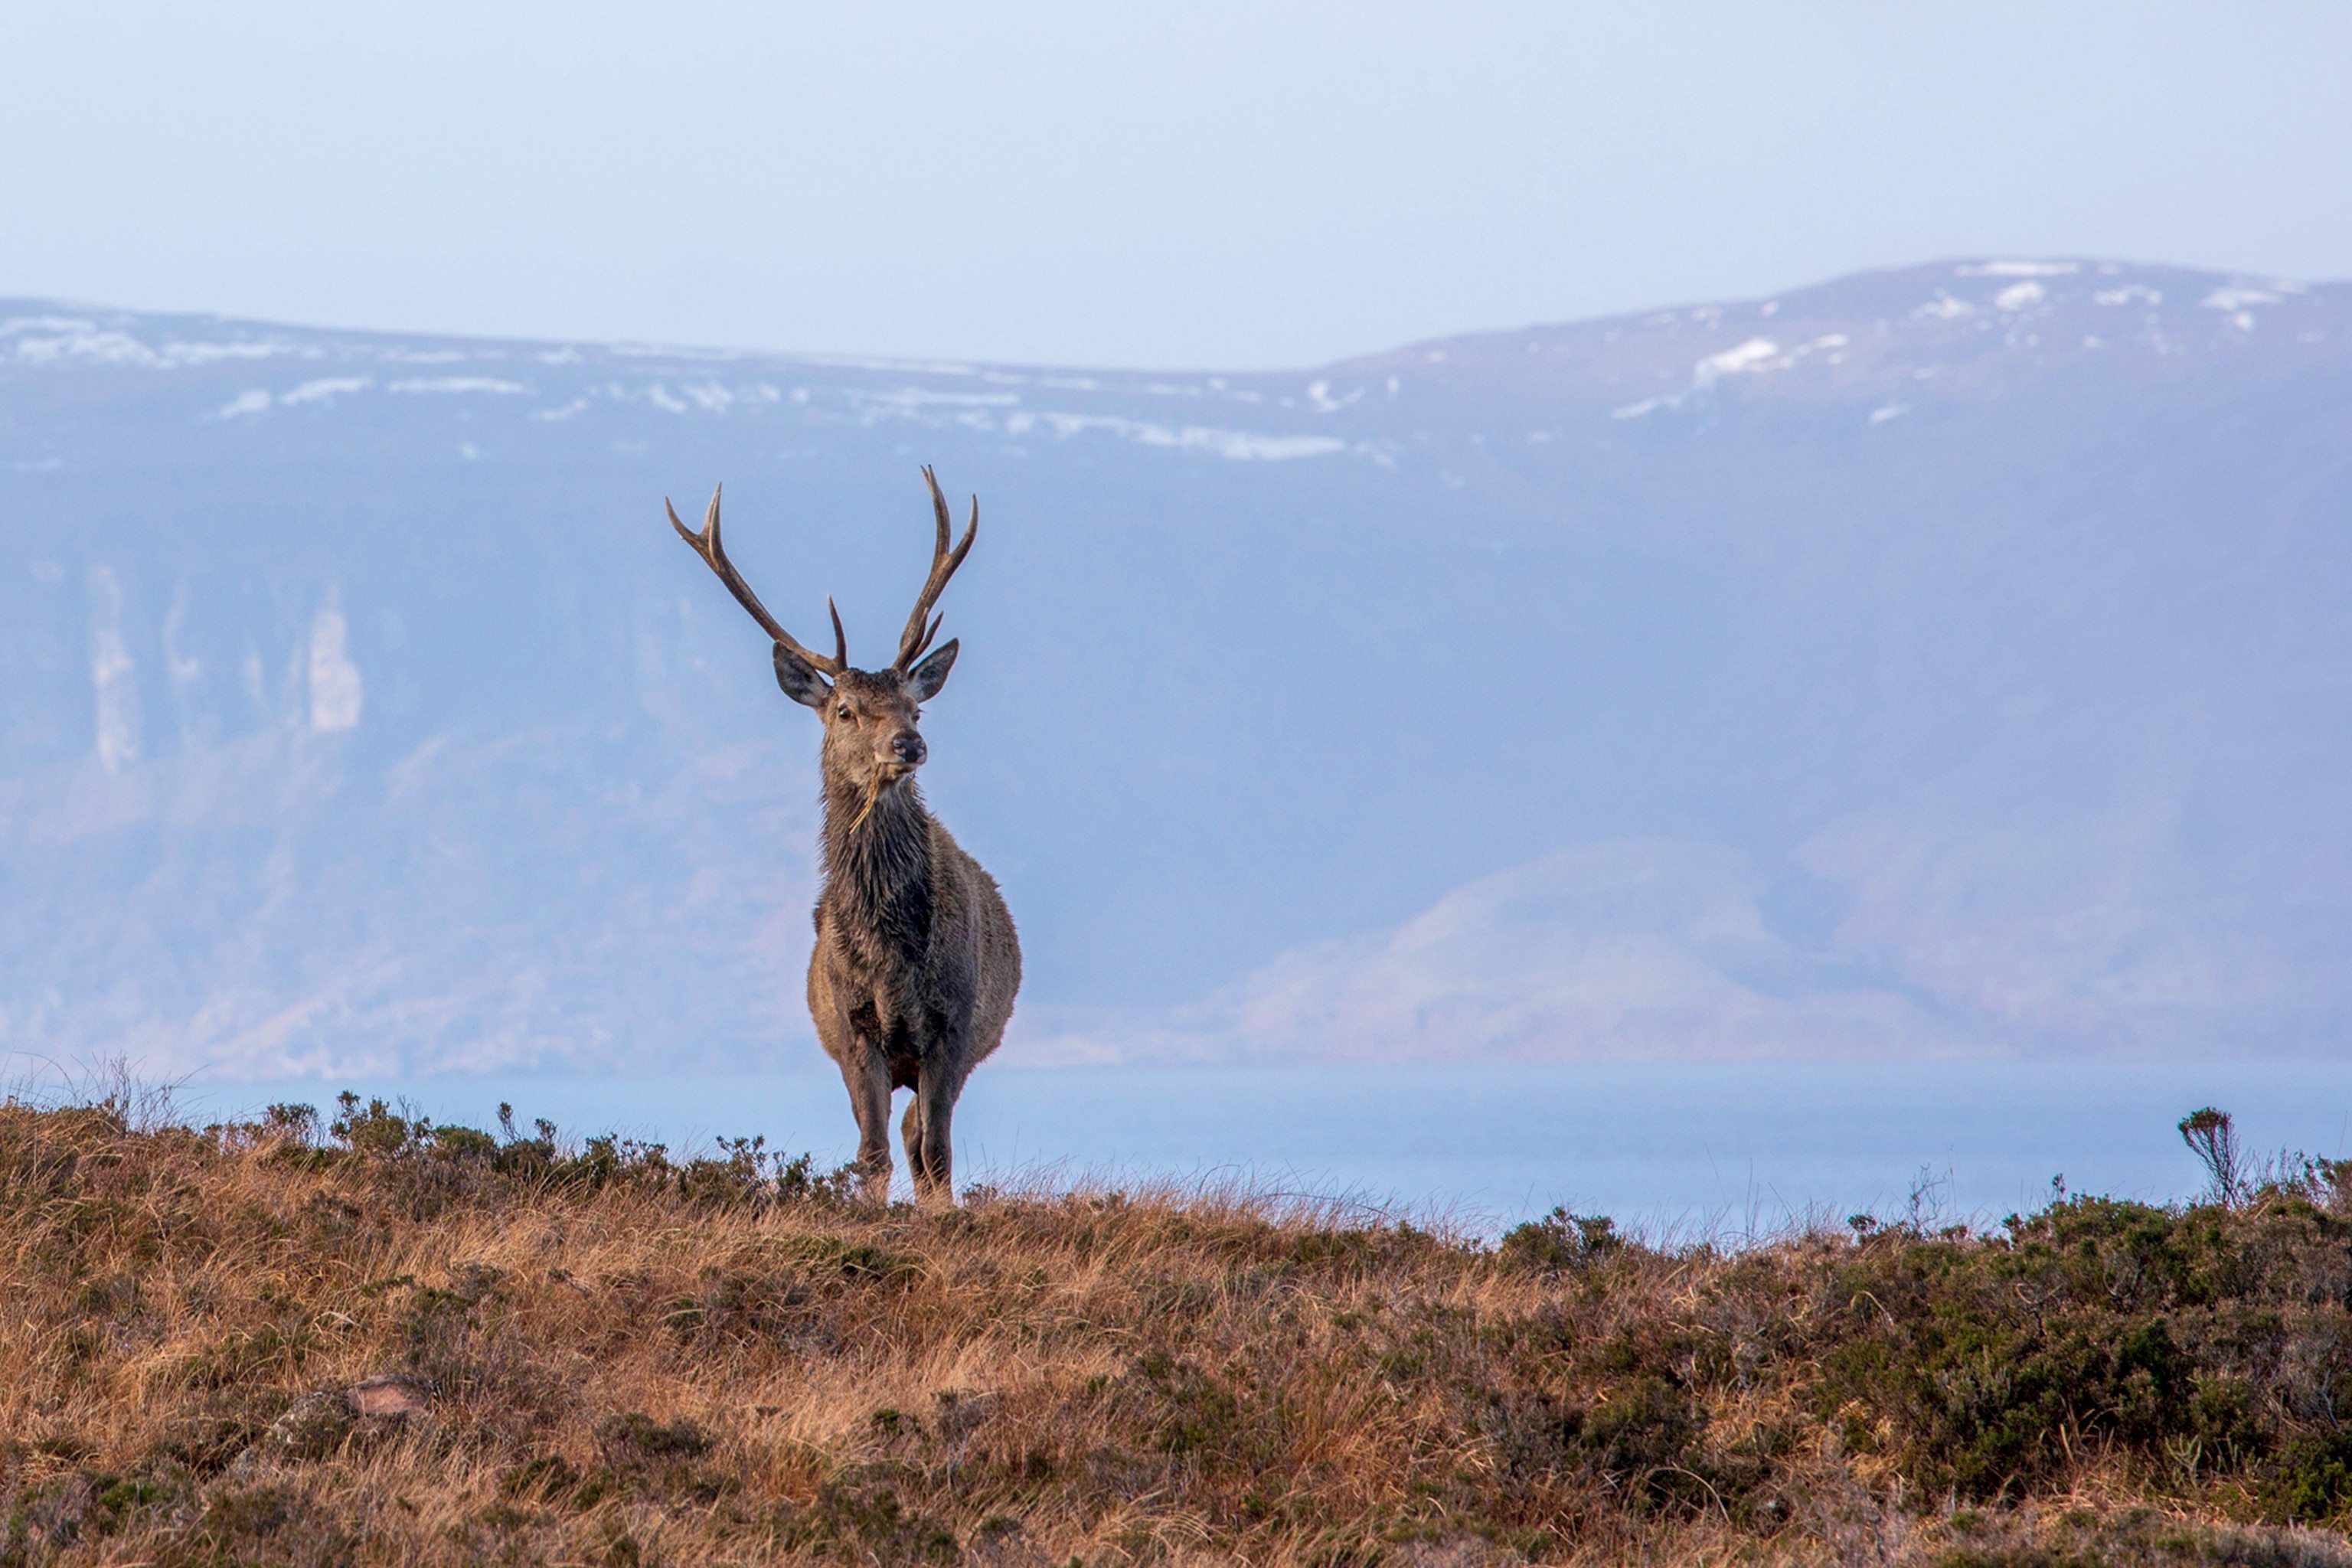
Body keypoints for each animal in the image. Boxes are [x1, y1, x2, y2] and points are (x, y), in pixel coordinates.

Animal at [667, 468, 1021, 1206]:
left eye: (915, 706)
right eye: (846, 711)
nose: (909, 744)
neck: (891, 957)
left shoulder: (952, 1025)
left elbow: (935, 1153)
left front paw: (939, 1218)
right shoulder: (855, 1032)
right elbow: (870, 1154)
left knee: (923, 1135)